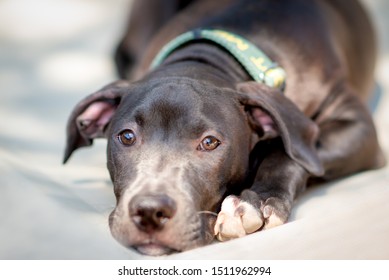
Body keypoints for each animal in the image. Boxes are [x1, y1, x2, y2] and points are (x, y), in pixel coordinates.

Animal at [62, 0, 384, 256]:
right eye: (127, 137)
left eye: (209, 142)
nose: (150, 211)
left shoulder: (358, 128)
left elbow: (286, 152)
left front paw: (255, 202)